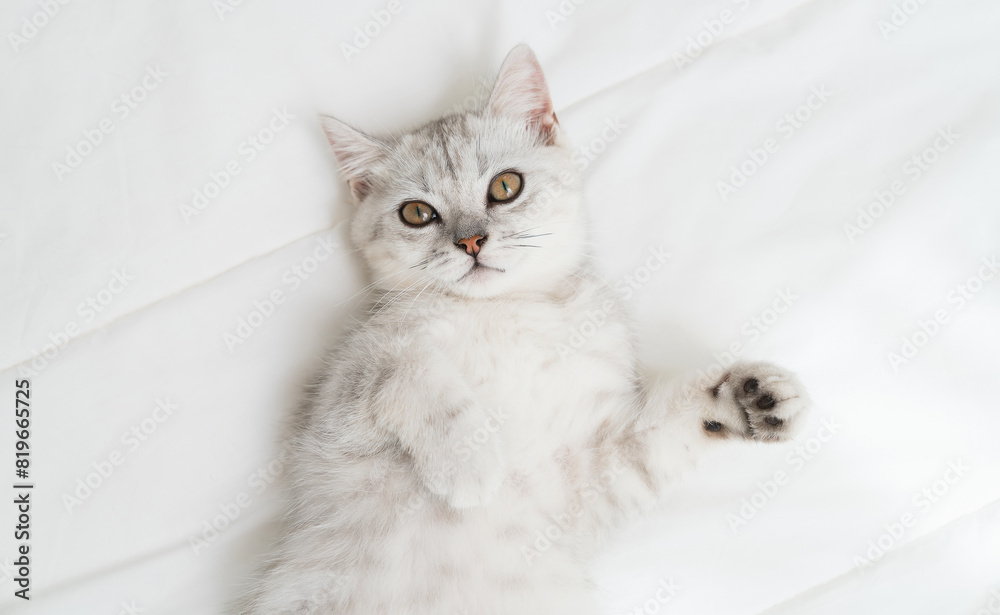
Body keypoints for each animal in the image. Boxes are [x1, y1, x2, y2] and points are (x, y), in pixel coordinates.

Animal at [238, 44, 808, 615]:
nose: (471, 241)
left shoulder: (582, 476)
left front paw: (750, 397)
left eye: (505, 186)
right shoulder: (335, 409)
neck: (505, 313)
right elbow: (401, 362)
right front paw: (468, 461)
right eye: (417, 213)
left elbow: (663, 433)